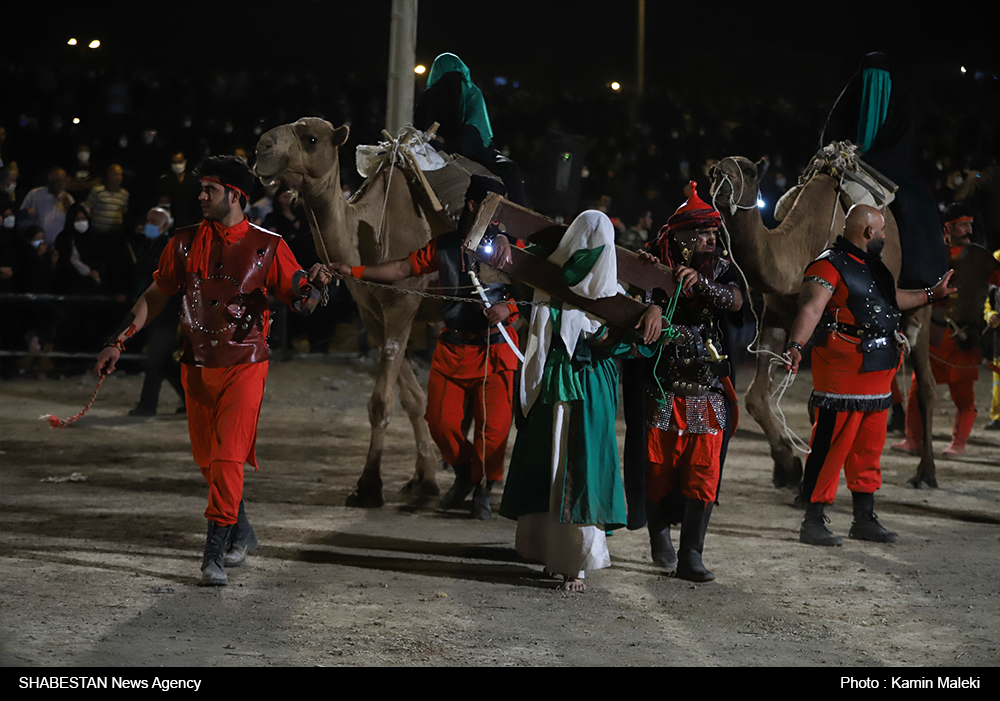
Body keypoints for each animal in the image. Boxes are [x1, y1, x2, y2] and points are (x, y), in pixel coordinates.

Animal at [252, 117, 452, 506]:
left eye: (311, 138)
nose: (261, 148)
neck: (370, 232)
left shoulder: (402, 306)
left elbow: (381, 402)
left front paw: (369, 485)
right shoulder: (372, 315)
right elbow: (412, 398)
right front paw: (423, 481)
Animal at [708, 156, 940, 490]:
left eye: (749, 173)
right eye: (713, 171)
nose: (724, 184)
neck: (797, 247)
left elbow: (818, 404)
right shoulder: (777, 316)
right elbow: (756, 397)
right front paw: (787, 468)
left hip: (920, 303)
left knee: (926, 385)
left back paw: (926, 473)